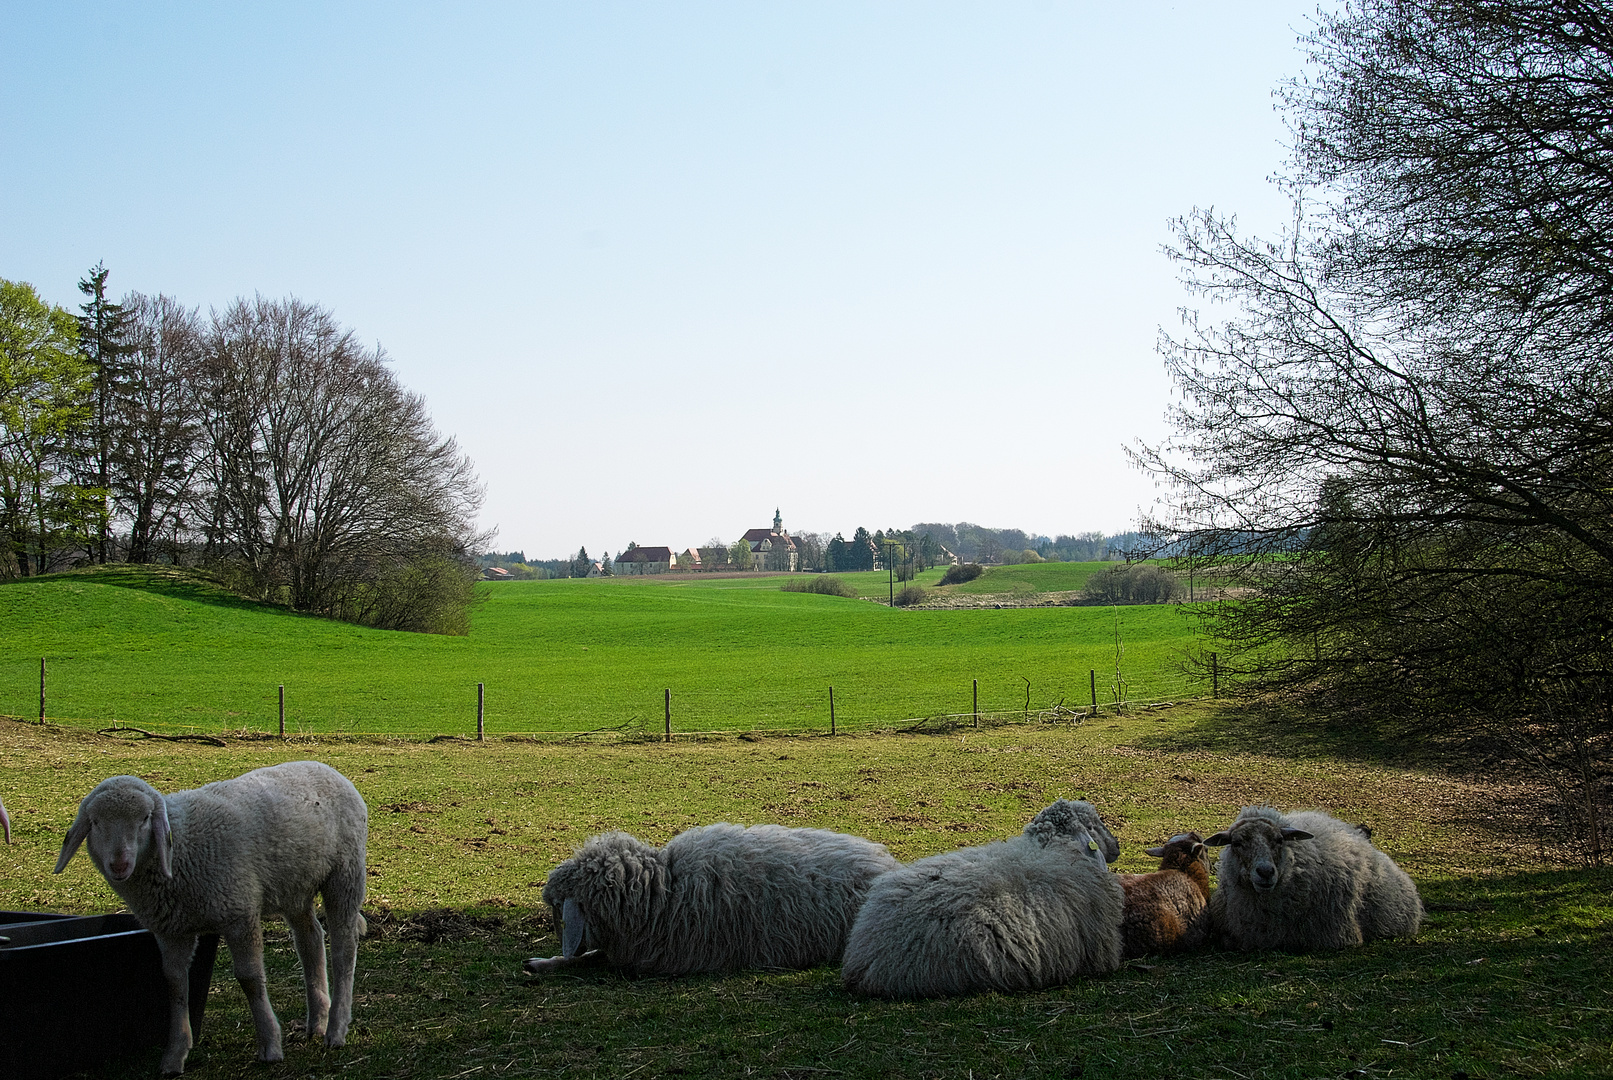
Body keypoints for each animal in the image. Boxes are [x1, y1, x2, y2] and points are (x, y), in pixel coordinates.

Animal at [54, 760, 369, 1076]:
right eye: (95, 822)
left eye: (145, 818)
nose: (119, 864)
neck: (181, 847)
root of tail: (323, 766)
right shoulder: (171, 930)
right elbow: (175, 984)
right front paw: (174, 1056)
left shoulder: (239, 912)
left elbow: (249, 979)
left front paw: (270, 1045)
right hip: (295, 886)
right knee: (310, 940)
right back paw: (317, 1021)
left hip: (345, 873)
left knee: (343, 947)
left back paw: (336, 1029)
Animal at [529, 825, 909, 980]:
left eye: (558, 909)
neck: (660, 887)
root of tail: (886, 865)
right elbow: (591, 957)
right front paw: (543, 963)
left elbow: (593, 960)